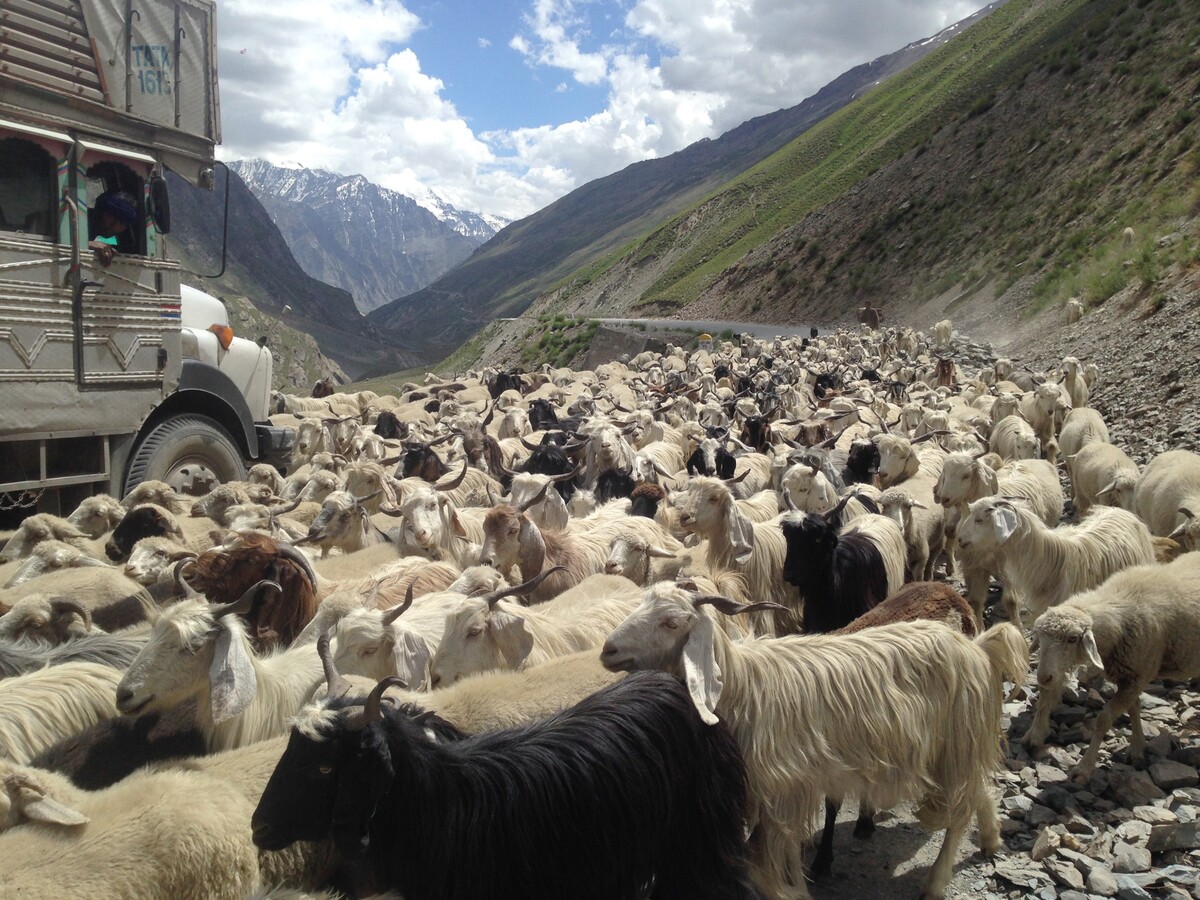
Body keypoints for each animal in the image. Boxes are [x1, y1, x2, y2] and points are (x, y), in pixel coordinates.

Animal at [604, 585, 1027, 900]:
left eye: (671, 622)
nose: (608, 649)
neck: (742, 686)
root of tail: (979, 647)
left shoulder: (783, 791)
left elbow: (765, 863)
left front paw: (790, 891)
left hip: (957, 741)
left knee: (960, 811)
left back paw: (936, 883)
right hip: (957, 744)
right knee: (979, 790)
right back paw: (991, 839)